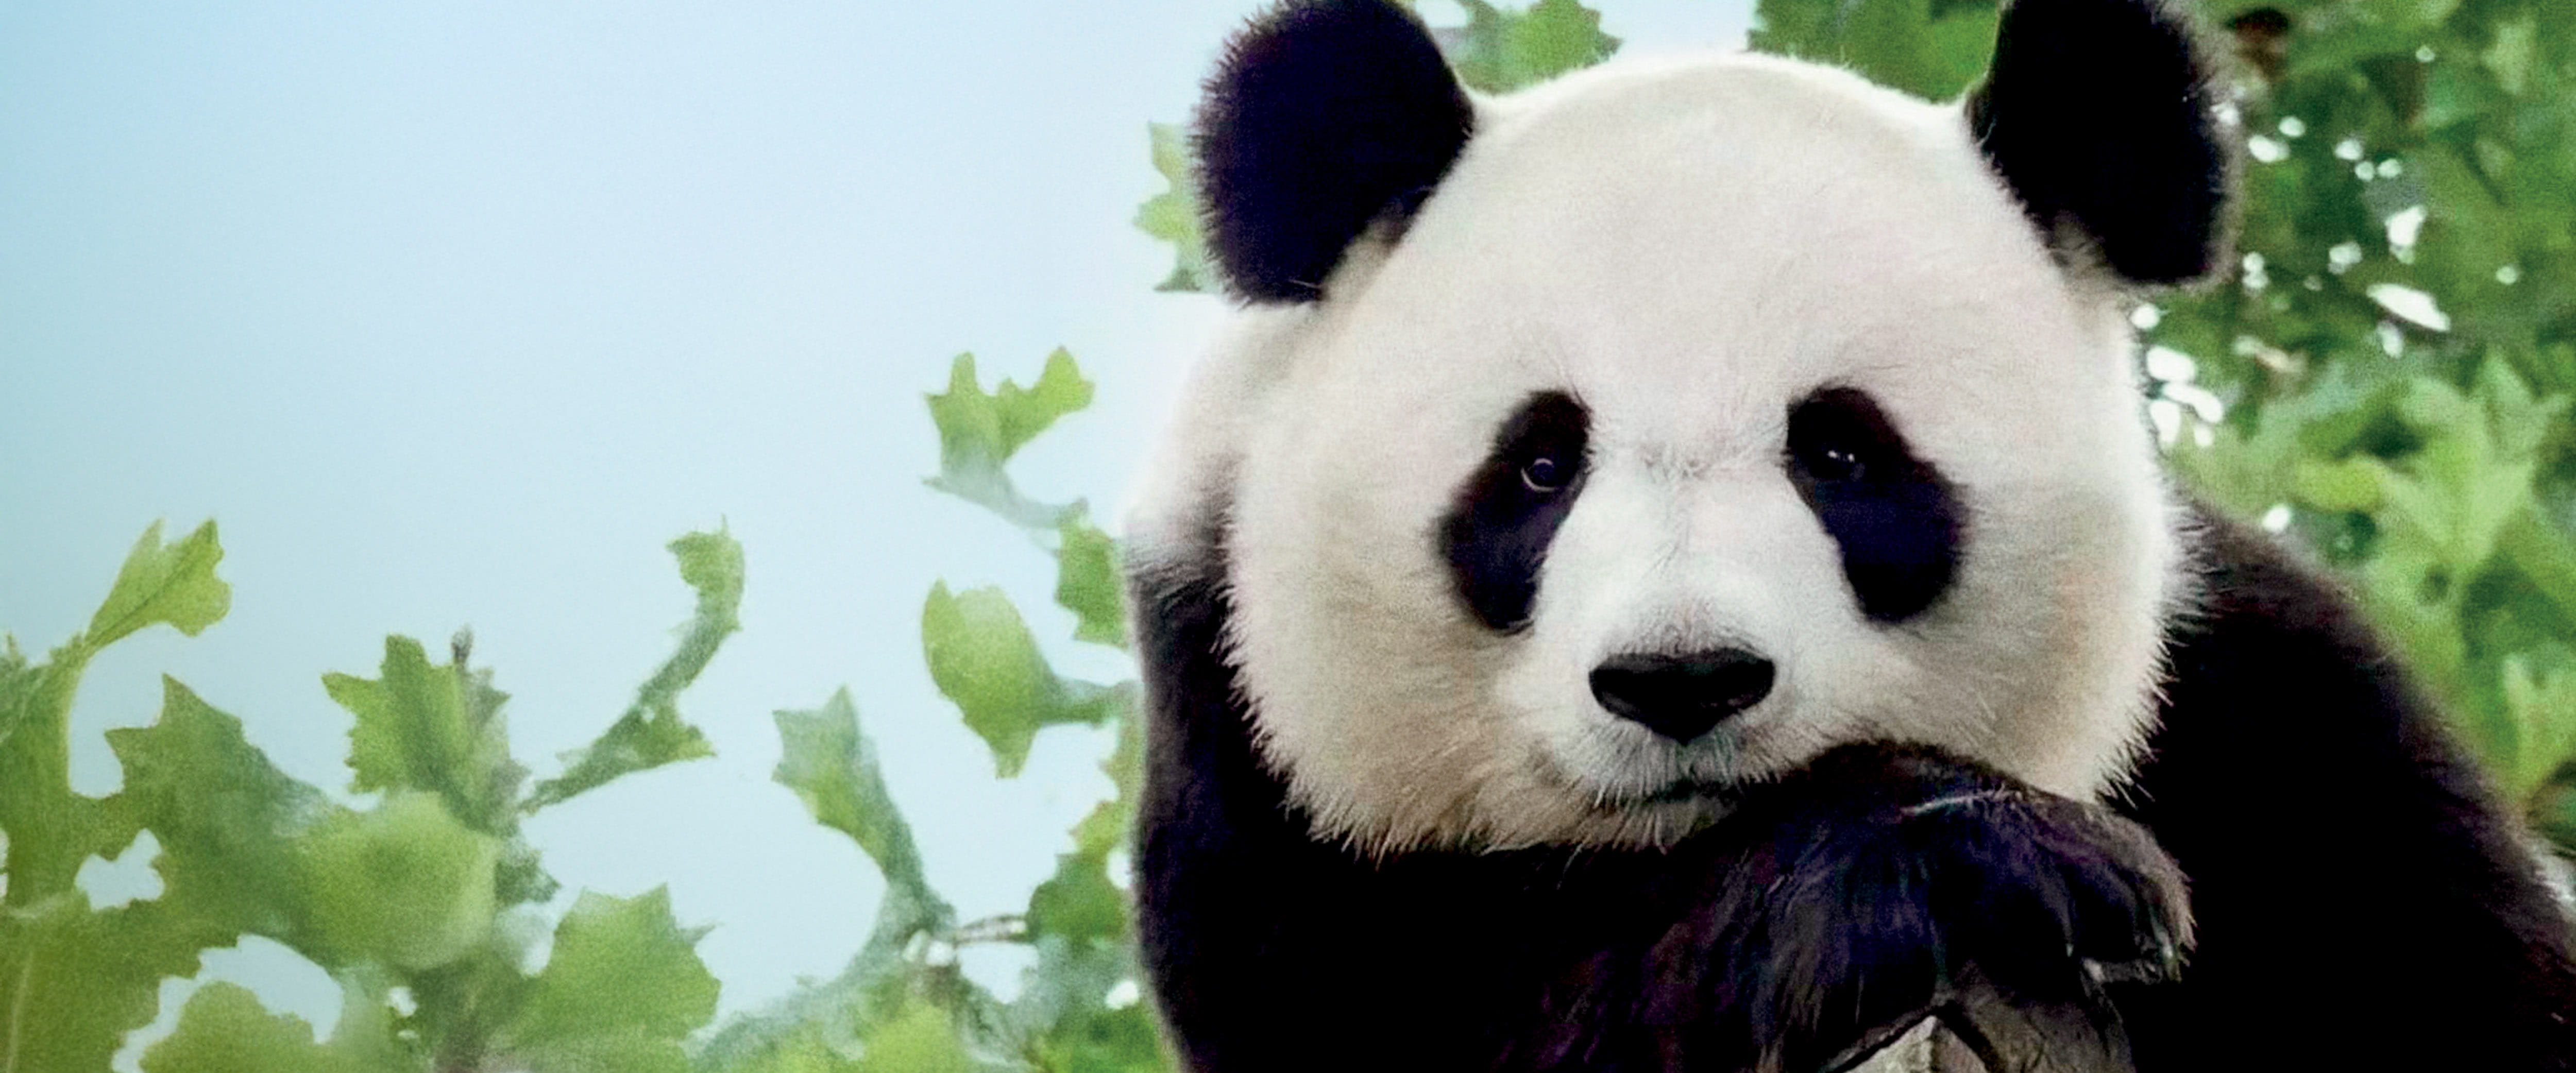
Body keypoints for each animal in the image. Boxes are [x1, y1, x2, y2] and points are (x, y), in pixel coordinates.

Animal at [1119, 0, 2576, 1069]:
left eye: (1841, 452)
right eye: (1537, 464)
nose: (1682, 680)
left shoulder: (2280, 723)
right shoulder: (1249, 759)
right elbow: (1431, 1016)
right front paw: (1977, 863)